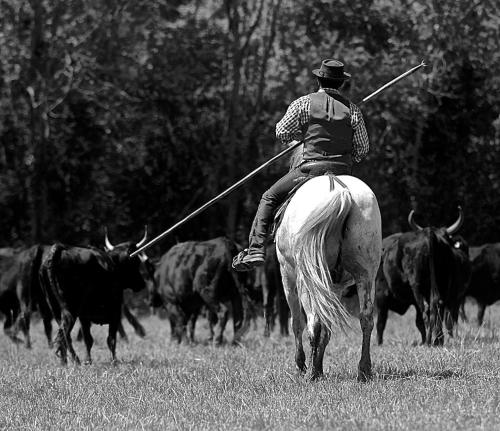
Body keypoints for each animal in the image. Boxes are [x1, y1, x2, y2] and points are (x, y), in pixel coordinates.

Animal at [39, 233, 148, 364]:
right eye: (135, 262)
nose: (142, 283)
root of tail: (59, 249)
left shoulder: (84, 316)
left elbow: (88, 340)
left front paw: (88, 361)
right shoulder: (115, 312)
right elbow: (111, 339)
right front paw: (114, 361)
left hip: (55, 309)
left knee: (65, 336)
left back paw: (65, 362)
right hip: (70, 310)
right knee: (64, 335)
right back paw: (74, 361)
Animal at [276, 174, 380, 384]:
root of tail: (342, 192)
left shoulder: (287, 274)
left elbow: (297, 322)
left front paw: (303, 365)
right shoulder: (334, 287)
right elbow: (327, 328)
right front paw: (319, 366)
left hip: (306, 280)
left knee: (312, 322)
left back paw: (310, 374)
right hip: (365, 275)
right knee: (366, 318)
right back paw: (364, 370)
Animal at [376, 208, 470, 346]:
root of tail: (430, 235)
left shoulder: (381, 295)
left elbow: (381, 322)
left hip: (417, 285)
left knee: (427, 309)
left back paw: (429, 341)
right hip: (441, 284)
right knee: (437, 306)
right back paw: (438, 339)